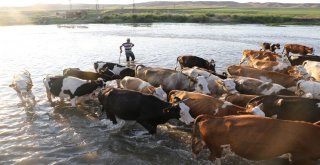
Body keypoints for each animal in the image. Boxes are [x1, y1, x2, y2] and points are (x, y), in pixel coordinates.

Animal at [191, 114, 320, 165]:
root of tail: (213, 118)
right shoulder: (300, 157)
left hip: (210, 143)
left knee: (197, 148)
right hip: (216, 146)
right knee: (213, 158)